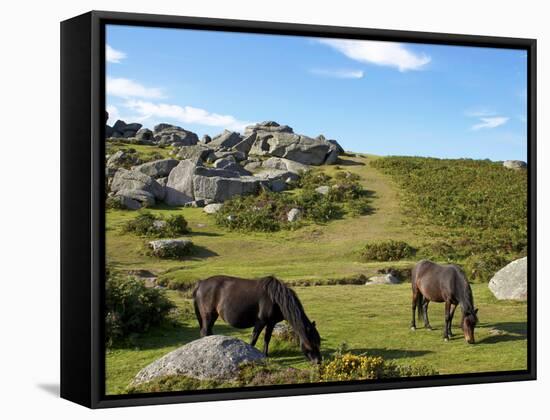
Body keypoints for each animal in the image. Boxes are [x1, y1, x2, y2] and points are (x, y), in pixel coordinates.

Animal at [194, 276, 324, 364]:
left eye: (318, 342)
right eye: (311, 342)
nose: (318, 361)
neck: (276, 299)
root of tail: (201, 283)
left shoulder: (271, 323)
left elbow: (267, 338)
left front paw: (265, 355)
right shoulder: (260, 322)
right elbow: (254, 339)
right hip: (208, 315)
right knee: (205, 332)